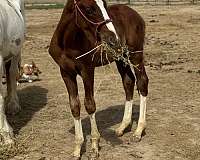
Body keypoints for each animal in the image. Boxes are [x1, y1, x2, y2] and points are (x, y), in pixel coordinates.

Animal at [48, 0, 148, 158]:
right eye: (89, 9)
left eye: (105, 6)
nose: (113, 38)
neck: (68, 42)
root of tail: (135, 14)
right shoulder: (66, 73)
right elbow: (74, 106)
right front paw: (77, 148)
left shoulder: (87, 70)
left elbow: (90, 104)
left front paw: (94, 145)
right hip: (120, 57)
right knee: (128, 82)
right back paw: (123, 126)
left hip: (135, 54)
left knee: (142, 82)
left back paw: (138, 130)